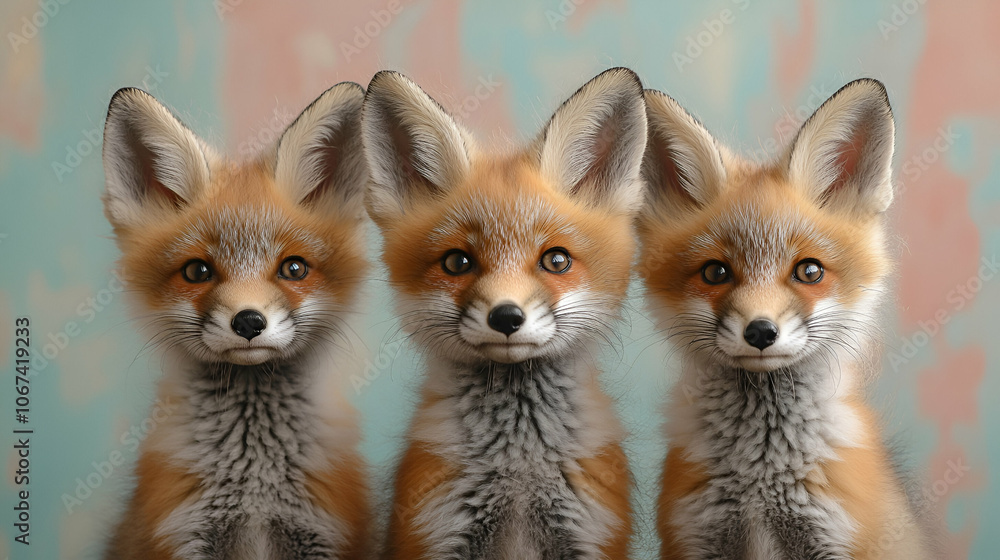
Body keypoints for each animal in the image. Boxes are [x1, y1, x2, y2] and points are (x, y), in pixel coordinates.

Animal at [100, 83, 372, 559]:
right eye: (197, 271)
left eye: (294, 268)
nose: (248, 322)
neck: (255, 484)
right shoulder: (183, 534)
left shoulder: (325, 534)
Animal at [360, 68, 648, 559]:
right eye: (457, 262)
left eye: (556, 260)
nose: (507, 317)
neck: (518, 468)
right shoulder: (432, 531)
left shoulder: (591, 535)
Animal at [638, 79, 933, 559]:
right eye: (715, 272)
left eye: (809, 271)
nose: (761, 331)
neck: (761, 478)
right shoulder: (696, 537)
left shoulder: (835, 537)